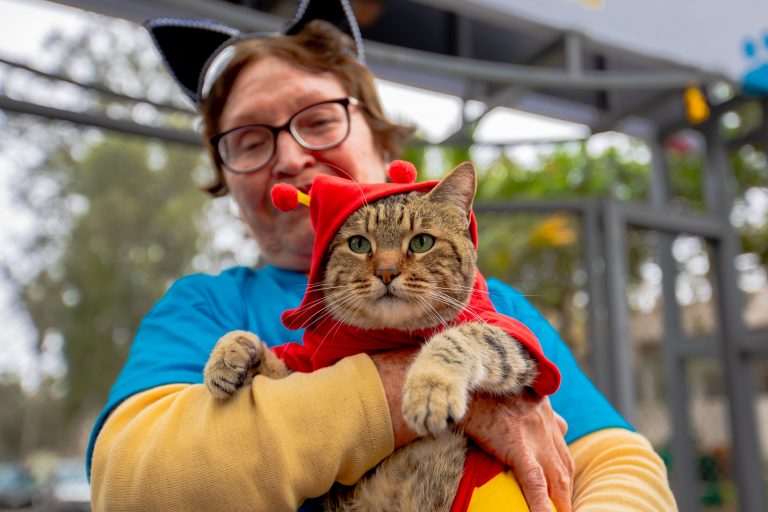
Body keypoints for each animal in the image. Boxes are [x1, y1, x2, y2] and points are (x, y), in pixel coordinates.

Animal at [204, 163, 540, 512]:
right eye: (359, 244)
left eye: (422, 242)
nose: (386, 272)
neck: (385, 335)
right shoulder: (306, 368)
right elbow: (268, 358)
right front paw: (230, 353)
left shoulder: (516, 348)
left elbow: (457, 339)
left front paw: (429, 389)